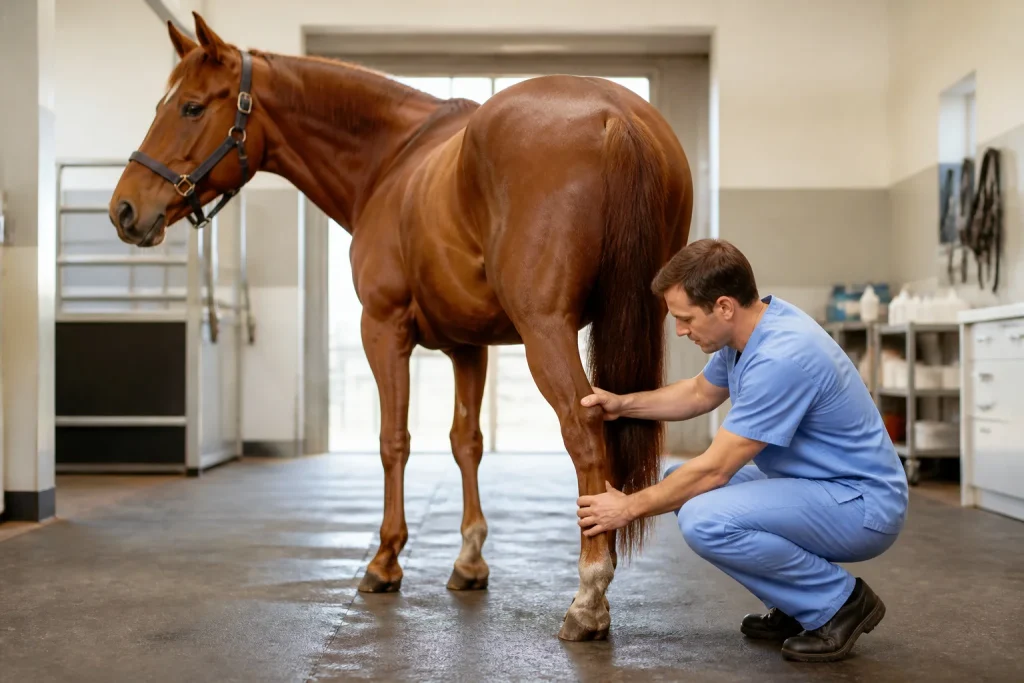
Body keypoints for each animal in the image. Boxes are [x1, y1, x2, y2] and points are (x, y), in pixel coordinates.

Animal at [109, 12, 693, 641]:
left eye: (191, 107)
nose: (124, 210)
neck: (391, 159)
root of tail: (614, 115)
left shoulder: (382, 329)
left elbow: (394, 440)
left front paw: (385, 560)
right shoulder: (468, 346)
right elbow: (466, 442)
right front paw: (469, 561)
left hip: (546, 332)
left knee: (584, 435)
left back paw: (588, 597)